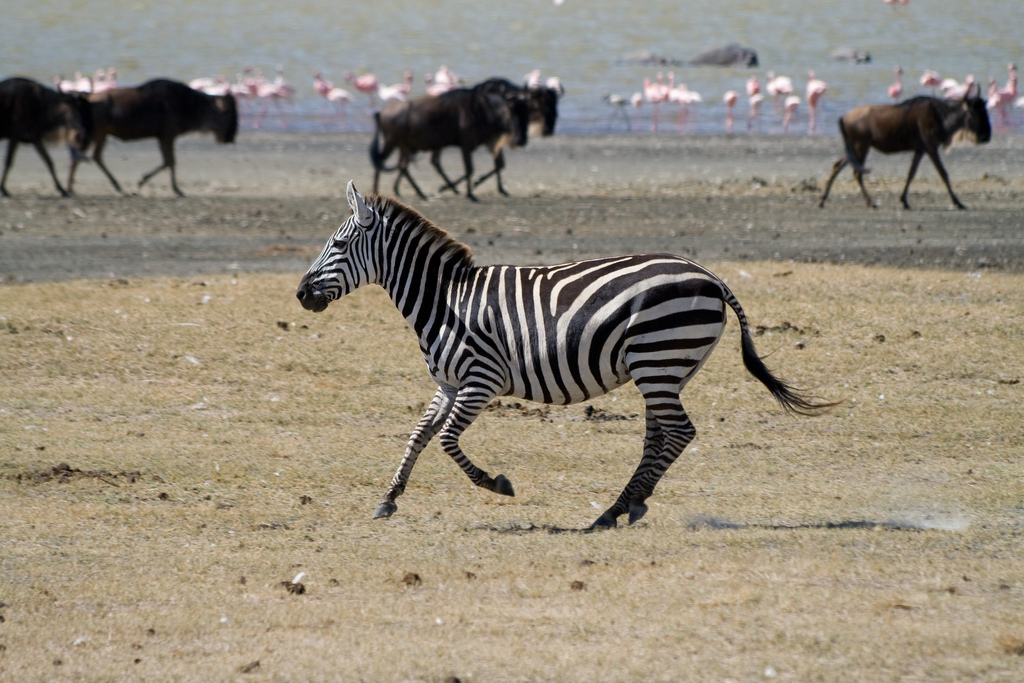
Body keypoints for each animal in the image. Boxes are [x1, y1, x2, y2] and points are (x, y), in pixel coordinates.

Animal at [296, 181, 839, 528]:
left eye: (337, 244)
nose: (301, 294)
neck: (445, 299)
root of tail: (709, 274)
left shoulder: (481, 379)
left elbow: (448, 440)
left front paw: (497, 484)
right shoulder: (449, 383)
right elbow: (418, 436)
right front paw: (387, 499)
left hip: (656, 359)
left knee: (680, 432)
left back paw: (613, 511)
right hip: (668, 367)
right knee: (660, 436)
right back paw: (627, 506)